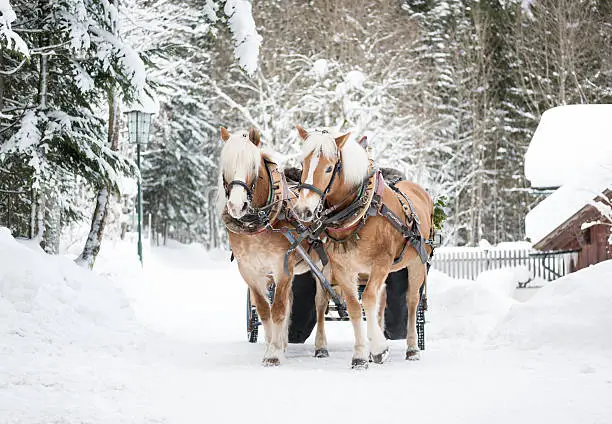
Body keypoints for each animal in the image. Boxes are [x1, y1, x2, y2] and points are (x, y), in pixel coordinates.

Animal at [218, 126, 328, 364]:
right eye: (226, 167)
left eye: (253, 167)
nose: (236, 206)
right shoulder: (250, 270)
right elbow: (264, 309)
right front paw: (272, 345)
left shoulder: (282, 267)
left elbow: (277, 309)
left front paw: (274, 354)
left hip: (322, 266)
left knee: (320, 303)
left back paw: (321, 346)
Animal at [292, 125, 432, 368]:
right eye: (303, 164)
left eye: (329, 168)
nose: (303, 210)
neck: (361, 211)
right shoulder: (343, 268)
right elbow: (355, 306)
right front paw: (360, 355)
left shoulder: (381, 262)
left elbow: (367, 299)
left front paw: (378, 348)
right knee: (379, 302)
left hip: (417, 262)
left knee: (412, 302)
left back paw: (413, 348)